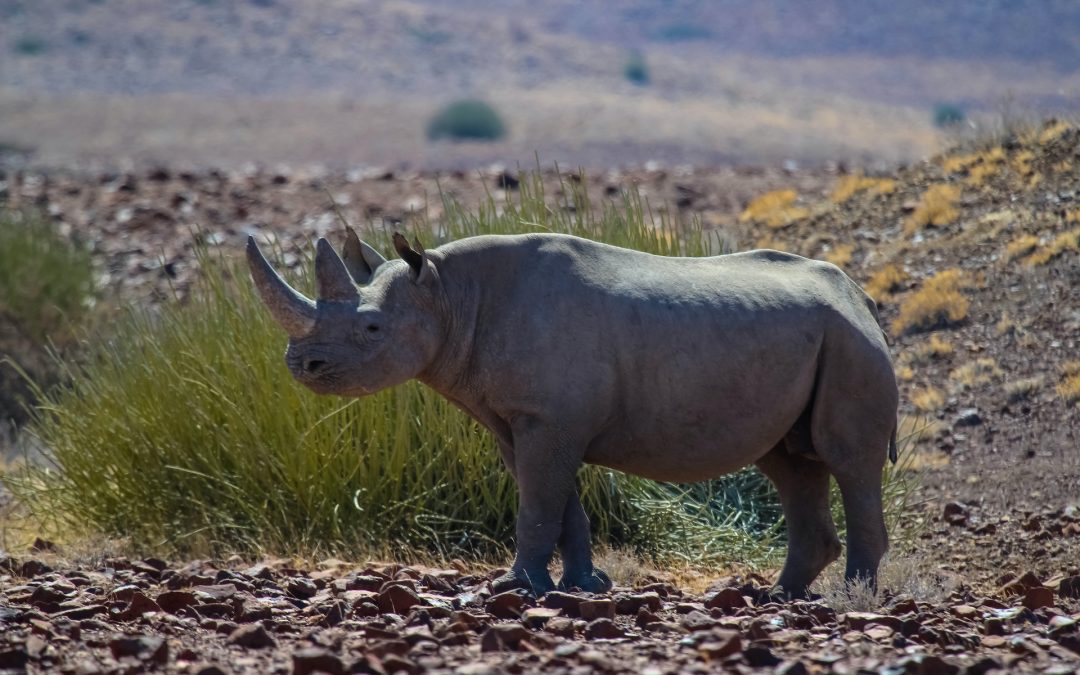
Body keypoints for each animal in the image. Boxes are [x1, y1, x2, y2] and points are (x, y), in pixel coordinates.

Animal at [247, 229, 898, 598]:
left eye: (372, 330)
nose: (301, 364)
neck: (450, 295)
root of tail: (862, 298)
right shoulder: (524, 419)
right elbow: (558, 503)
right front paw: (586, 586)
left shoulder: (548, 419)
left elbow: (538, 501)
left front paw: (513, 588)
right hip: (820, 339)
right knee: (790, 463)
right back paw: (778, 599)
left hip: (851, 342)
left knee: (848, 461)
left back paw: (851, 600)